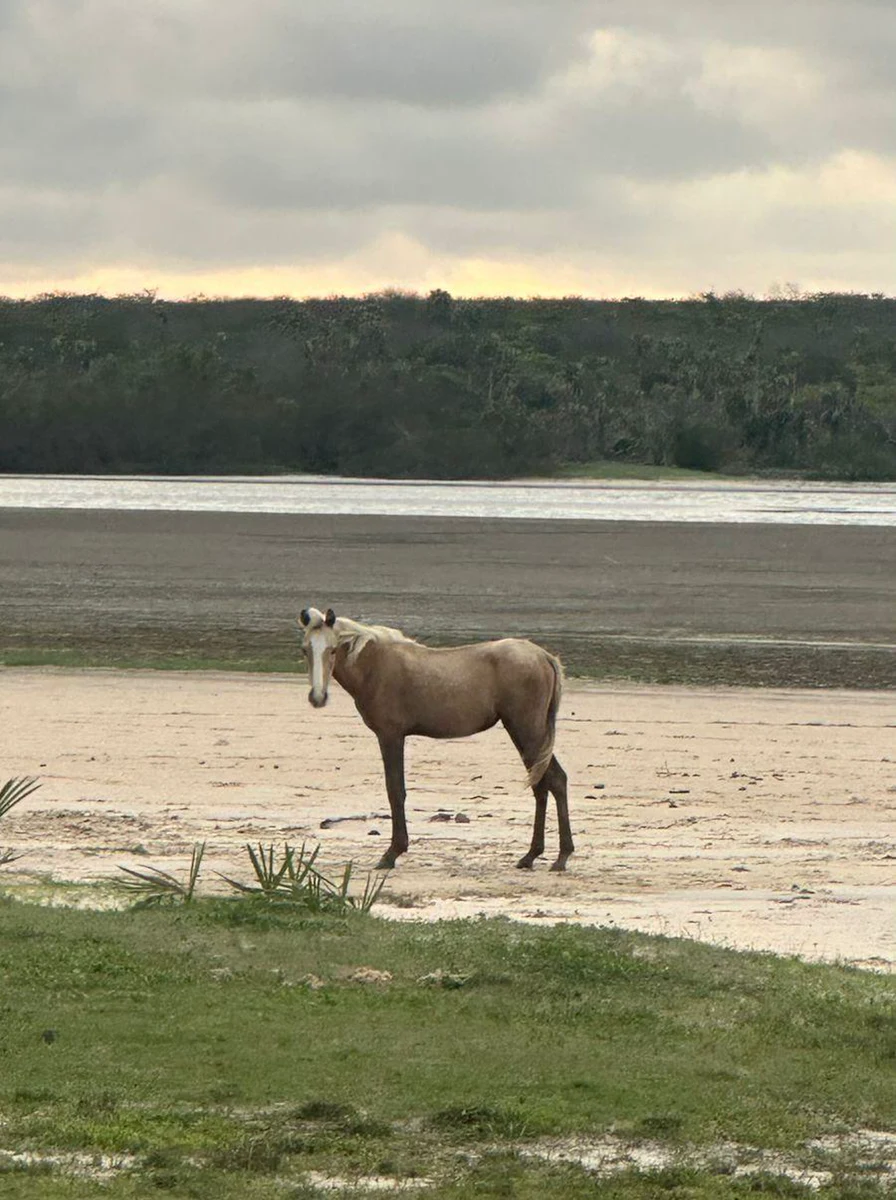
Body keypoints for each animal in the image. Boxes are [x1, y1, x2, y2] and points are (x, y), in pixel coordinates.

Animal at [297, 606, 573, 872]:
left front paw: (392, 853)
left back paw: (560, 857)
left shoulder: (390, 736)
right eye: (305, 649)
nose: (317, 697)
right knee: (543, 784)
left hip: (527, 731)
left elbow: (395, 790)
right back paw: (532, 856)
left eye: (333, 649)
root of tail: (543, 656)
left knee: (554, 780)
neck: (375, 667)